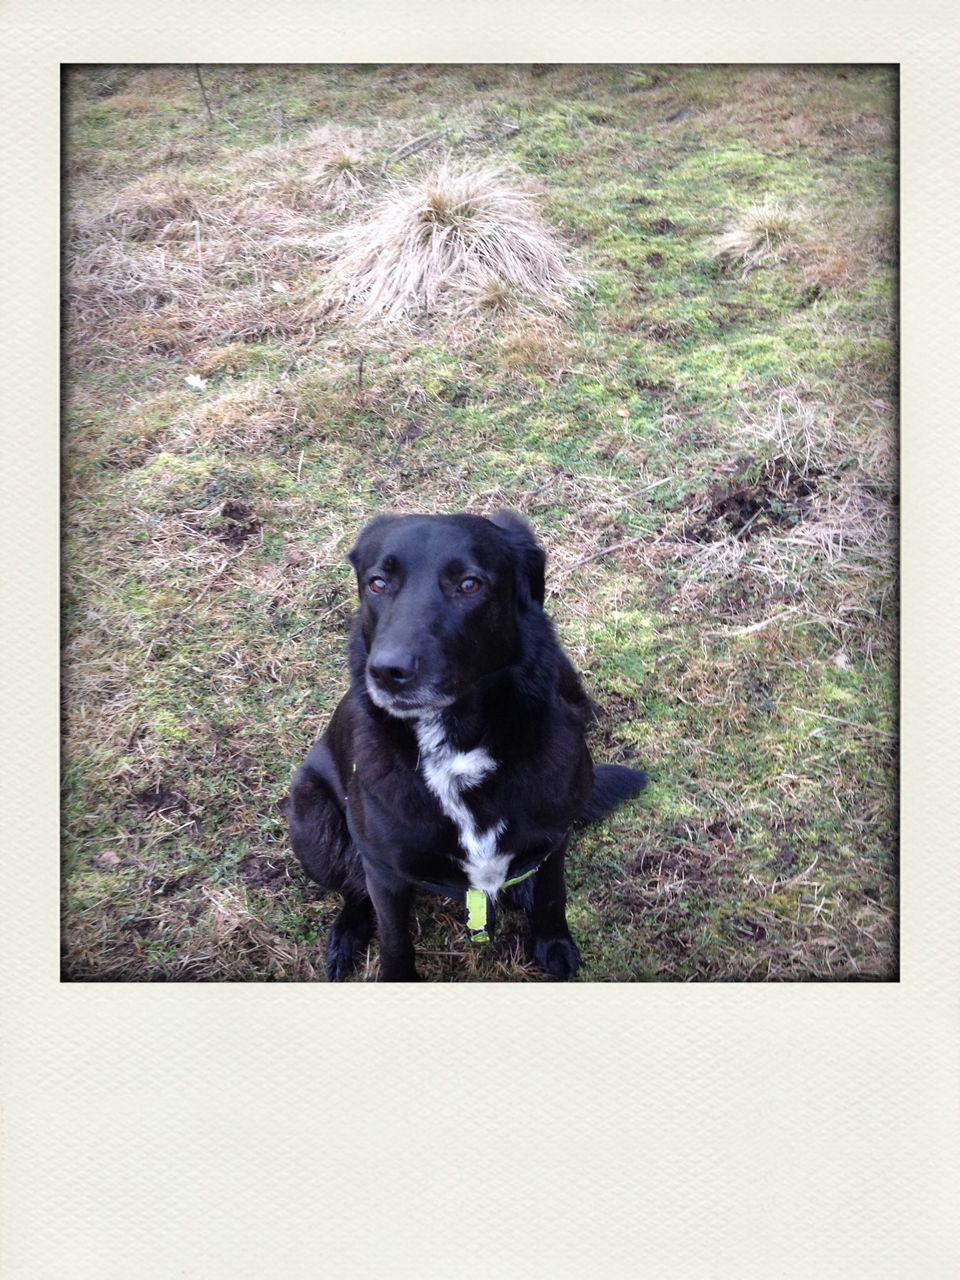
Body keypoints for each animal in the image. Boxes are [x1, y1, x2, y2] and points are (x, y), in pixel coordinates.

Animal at [284, 509, 647, 977]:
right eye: (377, 583)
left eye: (470, 584)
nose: (387, 672)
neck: (457, 748)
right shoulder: (383, 869)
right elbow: (394, 937)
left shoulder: (555, 837)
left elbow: (552, 896)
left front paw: (553, 945)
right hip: (310, 822)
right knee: (353, 889)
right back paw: (348, 933)